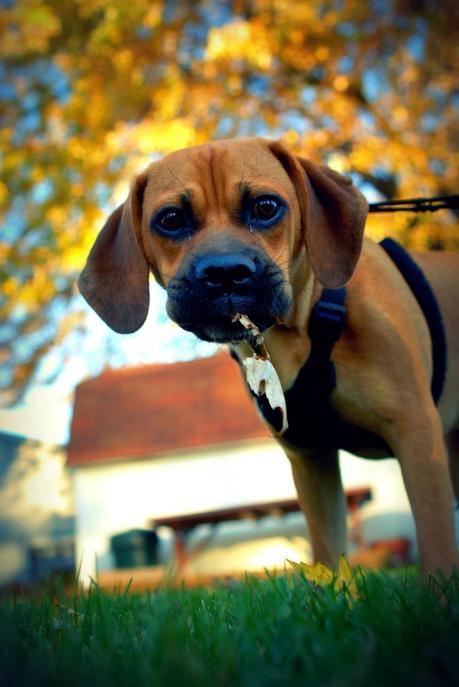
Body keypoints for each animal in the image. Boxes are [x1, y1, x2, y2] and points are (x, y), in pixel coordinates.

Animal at [79, 136, 459, 576]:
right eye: (170, 219)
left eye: (265, 207)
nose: (225, 273)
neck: (304, 326)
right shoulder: (312, 463)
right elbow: (328, 556)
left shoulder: (417, 438)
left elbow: (437, 553)